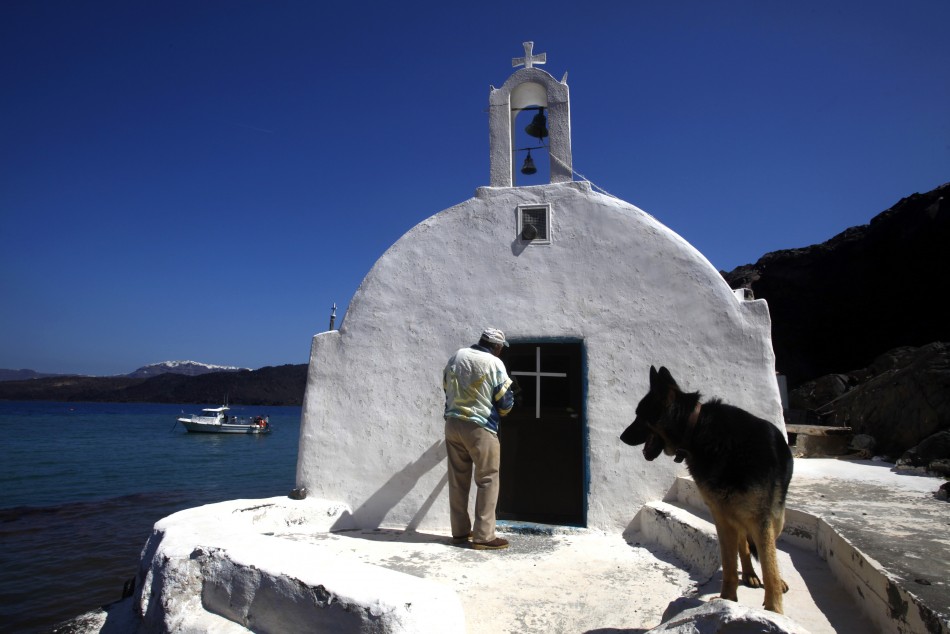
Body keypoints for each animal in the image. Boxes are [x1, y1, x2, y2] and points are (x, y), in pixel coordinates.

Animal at [624, 366, 796, 612]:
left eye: (639, 416)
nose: (621, 437)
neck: (698, 431)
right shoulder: (720, 515)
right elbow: (729, 564)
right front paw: (727, 599)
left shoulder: (760, 517)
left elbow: (769, 564)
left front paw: (774, 609)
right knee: (744, 543)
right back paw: (750, 574)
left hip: (776, 517)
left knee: (769, 549)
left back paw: (774, 579)